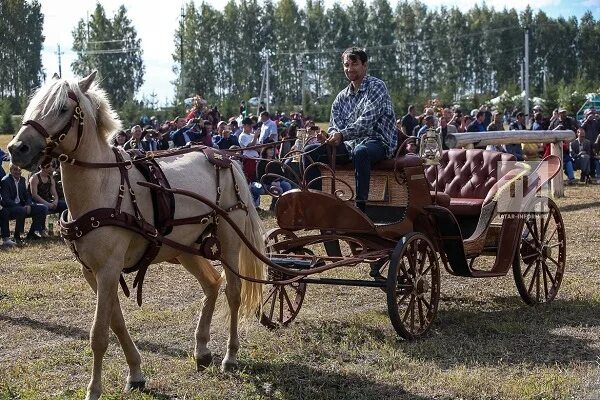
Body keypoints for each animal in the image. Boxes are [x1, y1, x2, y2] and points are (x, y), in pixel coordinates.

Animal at [8, 72, 266, 400]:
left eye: (62, 109)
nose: (17, 148)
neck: (103, 186)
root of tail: (223, 156)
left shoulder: (108, 268)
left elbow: (99, 333)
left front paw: (94, 389)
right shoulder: (92, 271)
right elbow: (116, 323)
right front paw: (136, 373)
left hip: (230, 241)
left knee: (233, 292)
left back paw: (230, 356)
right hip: (185, 249)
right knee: (211, 284)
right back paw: (202, 350)